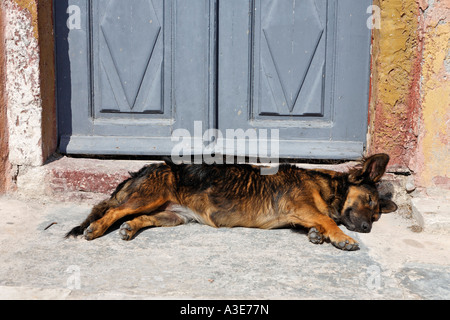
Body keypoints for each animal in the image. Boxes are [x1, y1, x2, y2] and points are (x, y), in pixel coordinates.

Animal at [66, 152, 398, 250]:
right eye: (369, 200)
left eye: (376, 215)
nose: (367, 229)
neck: (324, 185)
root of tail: (146, 168)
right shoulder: (300, 207)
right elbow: (327, 218)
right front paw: (342, 237)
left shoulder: (302, 214)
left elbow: (320, 222)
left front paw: (319, 235)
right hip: (151, 196)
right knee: (113, 211)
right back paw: (96, 229)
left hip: (173, 215)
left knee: (139, 218)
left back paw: (129, 229)